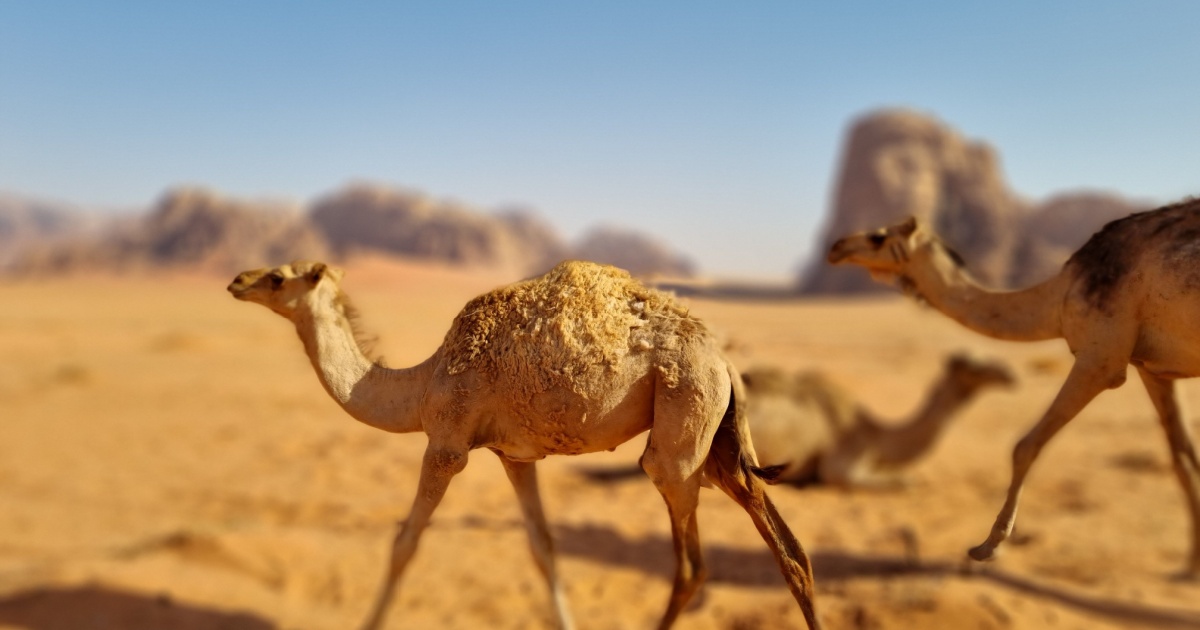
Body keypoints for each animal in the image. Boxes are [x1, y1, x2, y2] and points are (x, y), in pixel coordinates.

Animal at [226, 259, 821, 630]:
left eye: (278, 277)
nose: (236, 279)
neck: (421, 383)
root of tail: (722, 358)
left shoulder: (446, 445)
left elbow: (404, 543)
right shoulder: (514, 456)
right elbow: (544, 548)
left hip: (680, 428)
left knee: (690, 560)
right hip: (715, 437)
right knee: (784, 542)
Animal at [745, 353, 1014, 488]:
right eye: (974, 368)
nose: (1008, 374)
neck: (876, 436)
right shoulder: (840, 465)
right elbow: (905, 481)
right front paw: (912, 480)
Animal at [825, 197, 1200, 576]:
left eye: (877, 237)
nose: (836, 247)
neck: (1057, 297)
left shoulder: (1101, 358)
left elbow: (1025, 446)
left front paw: (987, 546)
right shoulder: (1152, 369)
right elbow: (1184, 457)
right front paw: (1191, 566)